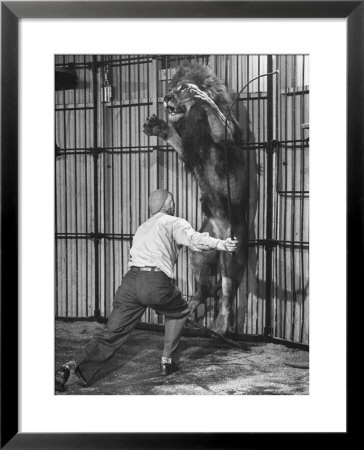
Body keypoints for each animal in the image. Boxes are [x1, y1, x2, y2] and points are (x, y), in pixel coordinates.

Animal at [142, 62, 256, 334]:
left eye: (182, 88)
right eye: (171, 87)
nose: (166, 97)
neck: (195, 120)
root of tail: (219, 229)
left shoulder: (228, 137)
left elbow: (220, 120)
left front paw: (204, 98)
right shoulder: (190, 151)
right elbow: (175, 139)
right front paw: (159, 127)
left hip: (231, 249)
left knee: (226, 293)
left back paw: (220, 326)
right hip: (200, 250)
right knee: (203, 289)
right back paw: (190, 311)